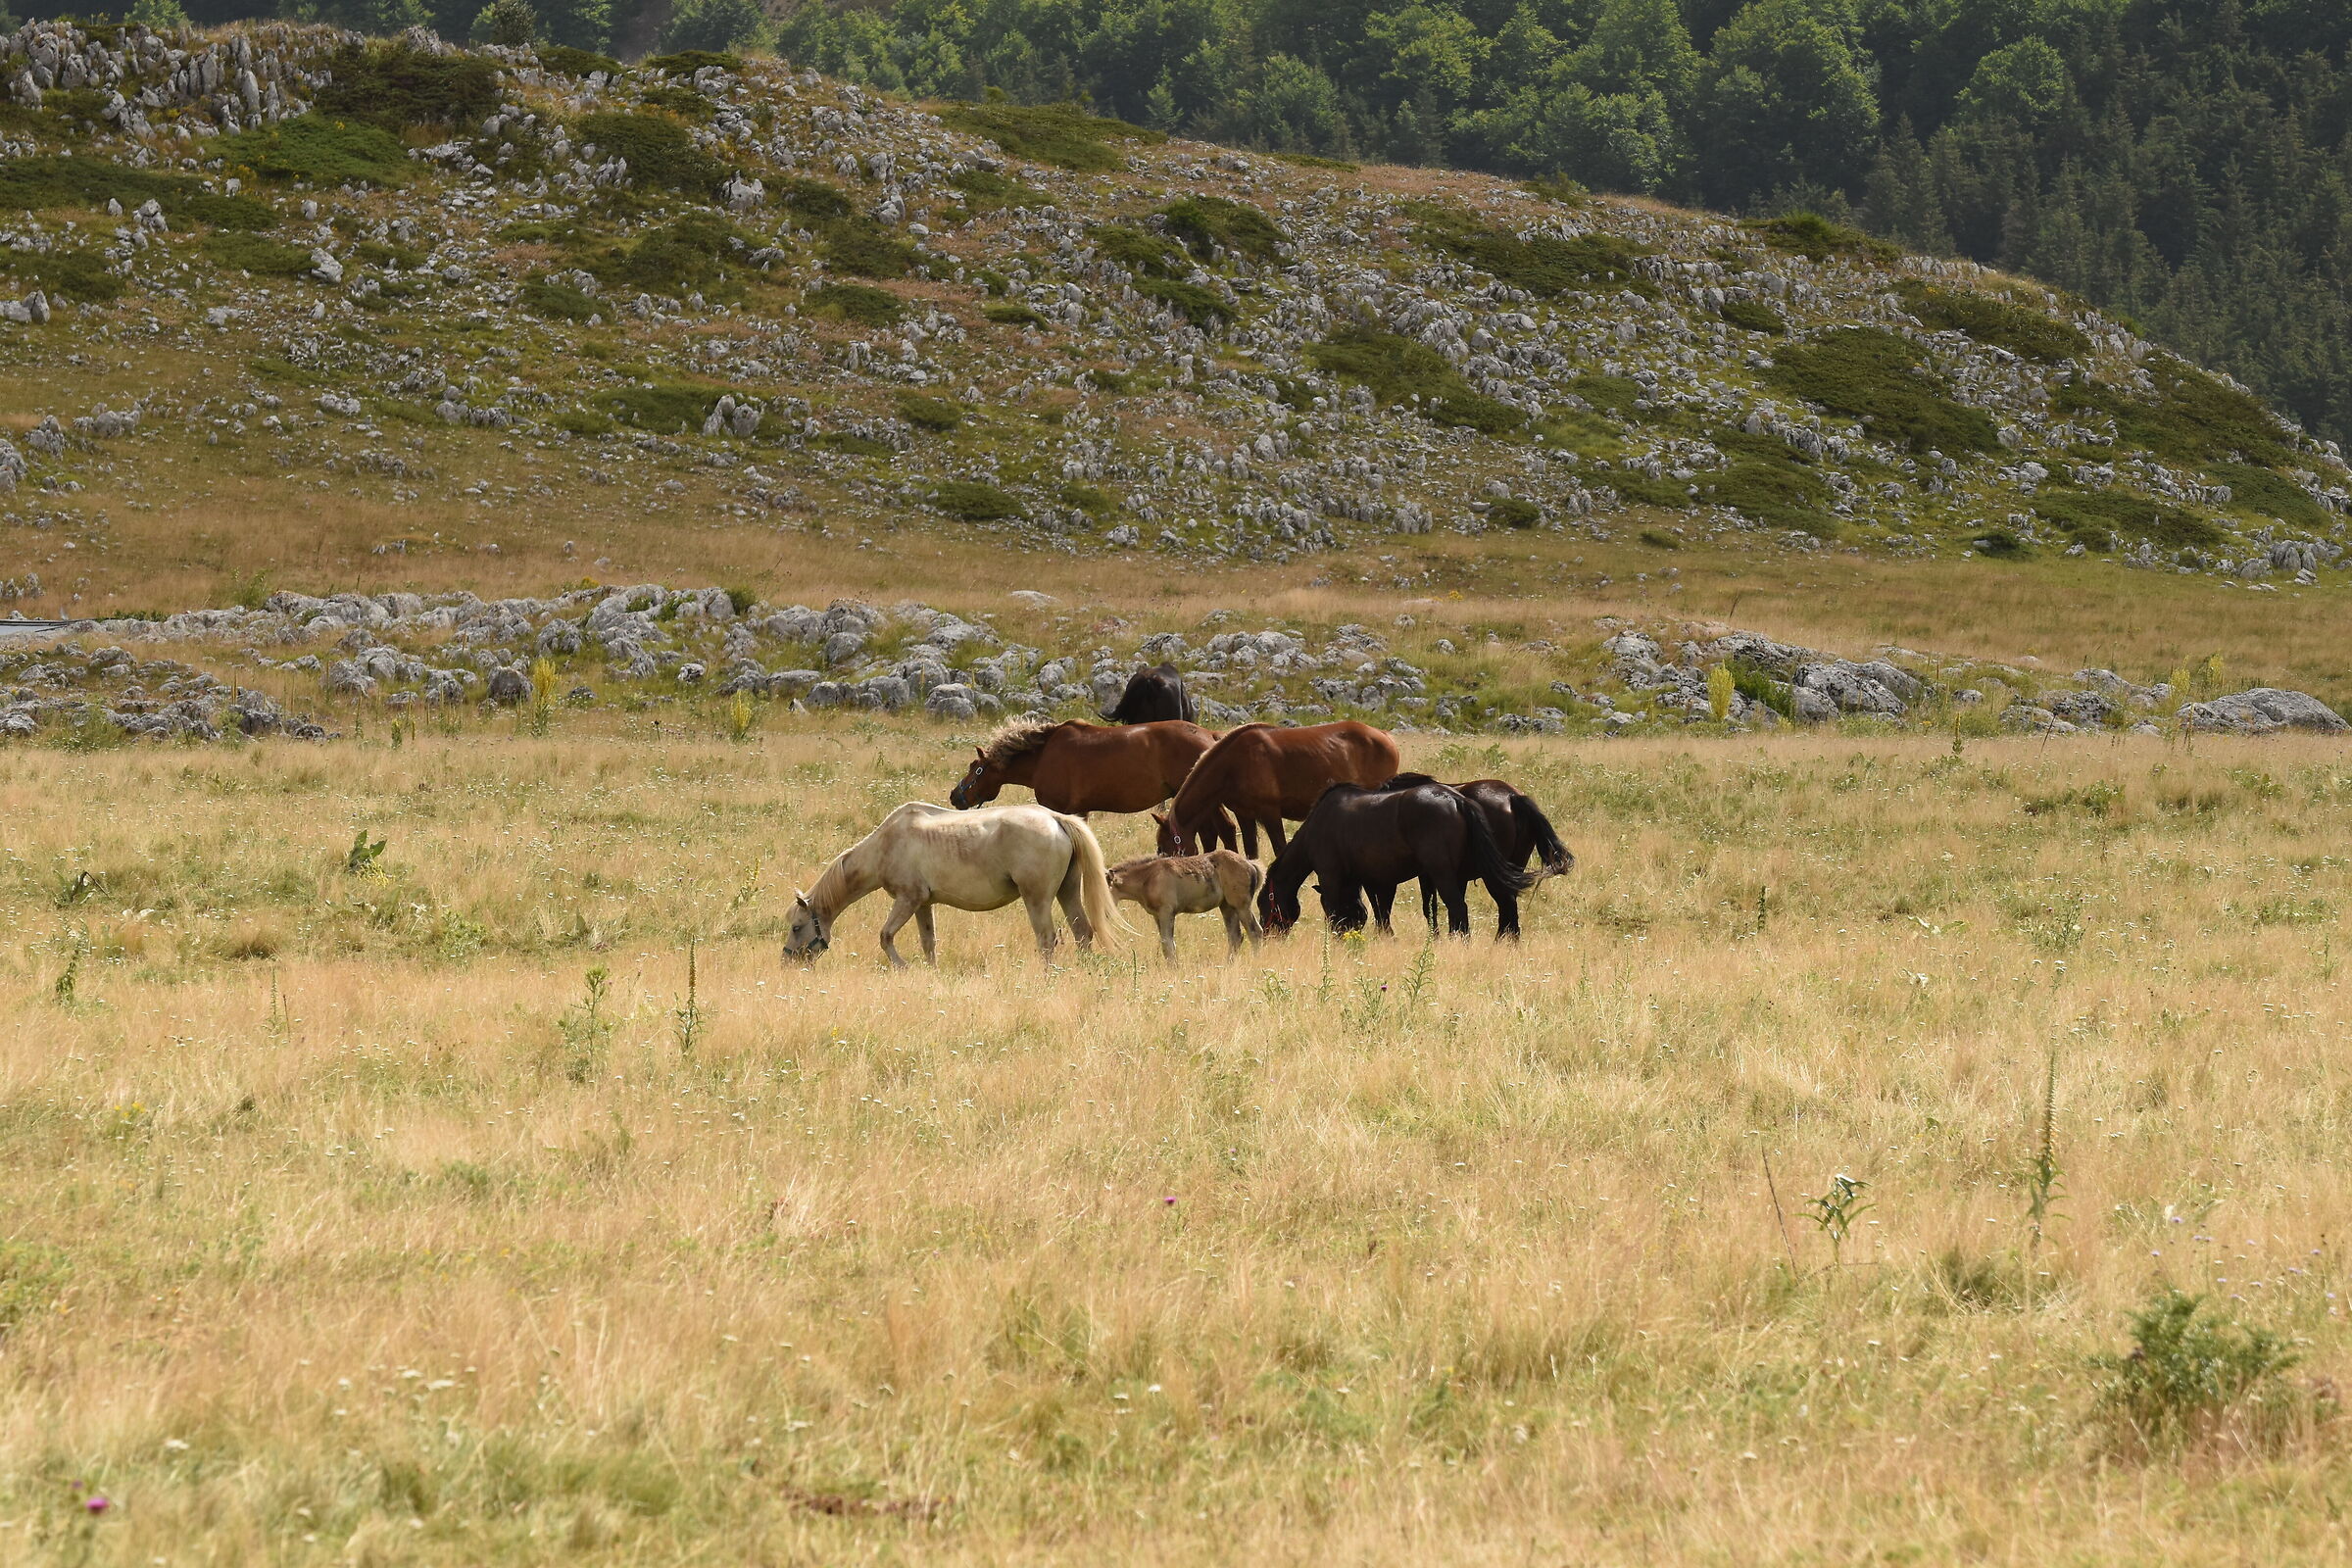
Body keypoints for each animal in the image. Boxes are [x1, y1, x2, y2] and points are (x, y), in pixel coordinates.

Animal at [783, 802, 1124, 969]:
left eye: (797, 927)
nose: (788, 960)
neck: (887, 844)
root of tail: (1055, 818)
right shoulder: (923, 904)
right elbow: (928, 943)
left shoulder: (908, 899)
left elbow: (885, 936)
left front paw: (903, 967)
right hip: (1067, 891)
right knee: (1082, 932)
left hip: (1037, 899)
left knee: (1047, 940)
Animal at [1107, 851, 1264, 962]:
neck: (1148, 878)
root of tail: (1250, 864)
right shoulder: (1157, 916)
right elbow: (1166, 944)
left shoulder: (1166, 912)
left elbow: (1168, 944)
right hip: (1227, 907)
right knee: (1235, 937)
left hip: (1241, 906)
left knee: (1255, 932)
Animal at [1157, 721, 1402, 858]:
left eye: (1166, 849)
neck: (1235, 763)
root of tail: (1385, 736)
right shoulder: (1245, 815)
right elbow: (1251, 852)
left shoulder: (1270, 813)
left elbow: (1279, 848)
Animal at [1260, 779, 1532, 938]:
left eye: (1263, 904)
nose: (1267, 935)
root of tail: (1457, 799)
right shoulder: (1372, 879)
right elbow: (1380, 911)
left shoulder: (1332, 876)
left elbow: (1337, 910)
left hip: (1443, 874)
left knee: (1459, 908)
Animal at [1397, 776, 1575, 937]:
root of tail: (1511, 796)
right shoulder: (1457, 876)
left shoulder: (1429, 873)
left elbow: (1430, 907)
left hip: (1494, 875)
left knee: (1507, 906)